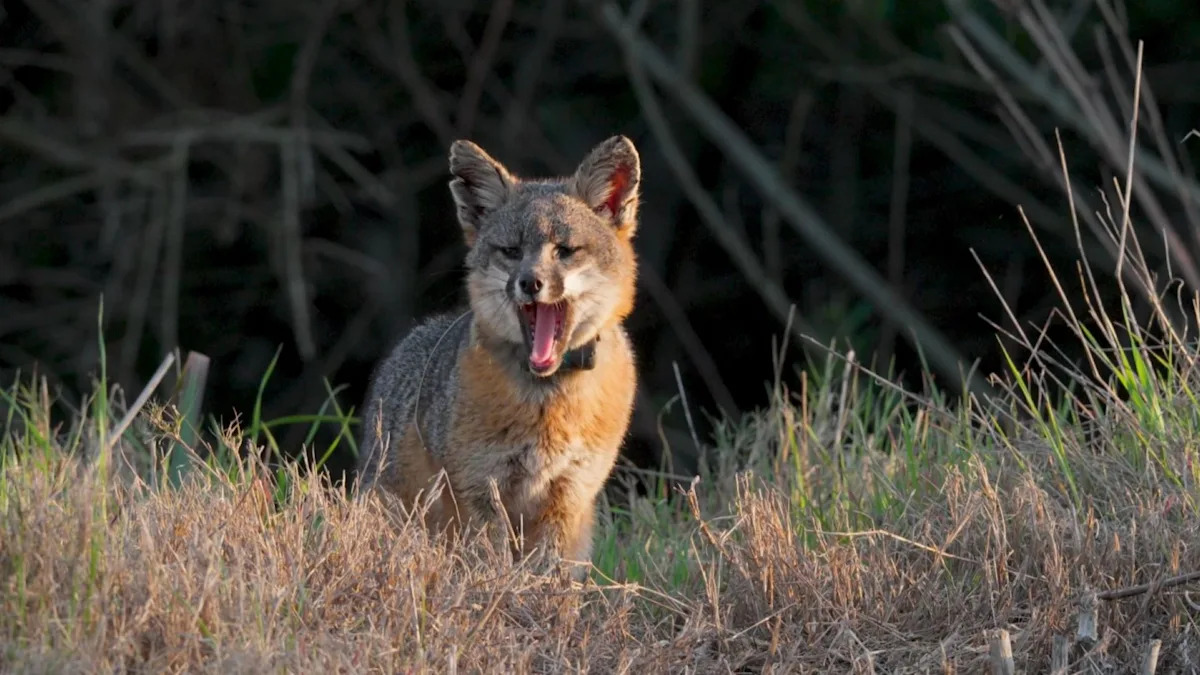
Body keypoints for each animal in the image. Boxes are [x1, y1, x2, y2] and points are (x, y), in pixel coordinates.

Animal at [357, 135, 642, 577]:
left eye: (565, 251)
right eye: (511, 251)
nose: (530, 282)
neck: (548, 403)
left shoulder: (571, 493)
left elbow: (550, 573)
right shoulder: (478, 486)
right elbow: (491, 564)